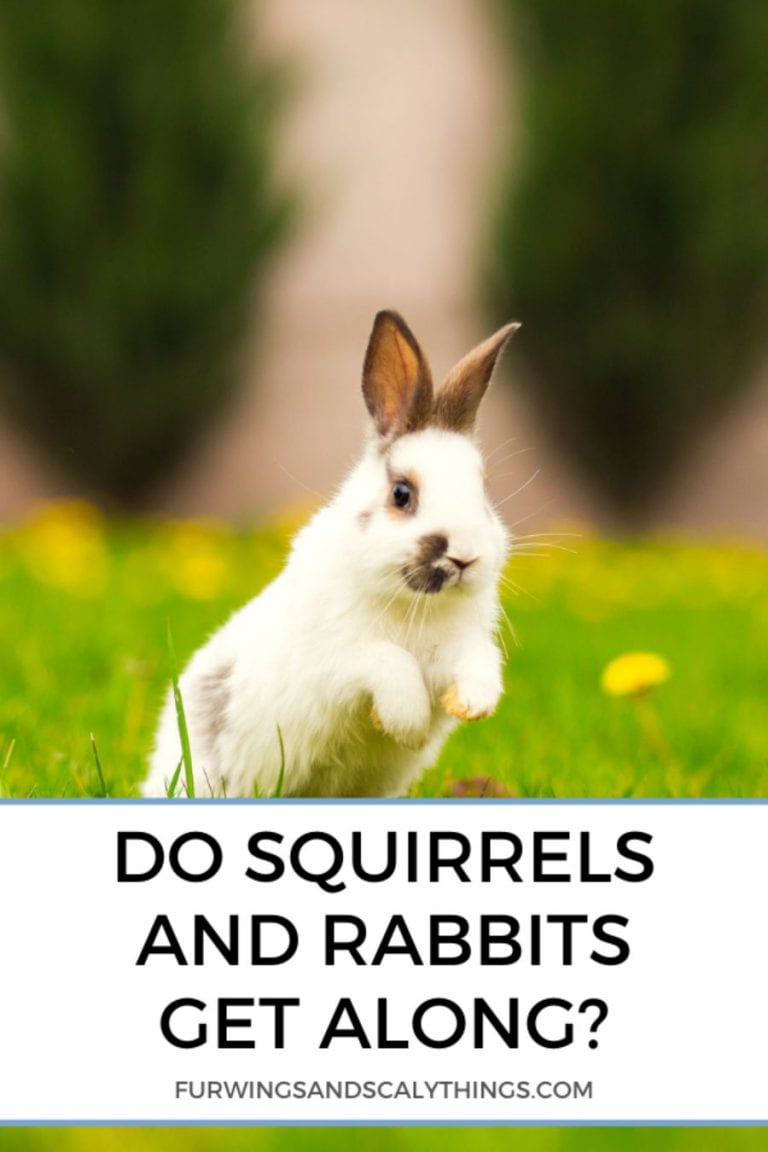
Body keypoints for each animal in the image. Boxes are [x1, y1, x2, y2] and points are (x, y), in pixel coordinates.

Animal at [143, 310, 519, 798]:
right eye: (402, 494)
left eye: (484, 493)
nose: (465, 557)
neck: (408, 603)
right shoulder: (340, 660)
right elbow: (388, 662)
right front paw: (408, 723)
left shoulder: (454, 648)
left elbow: (478, 660)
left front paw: (474, 703)